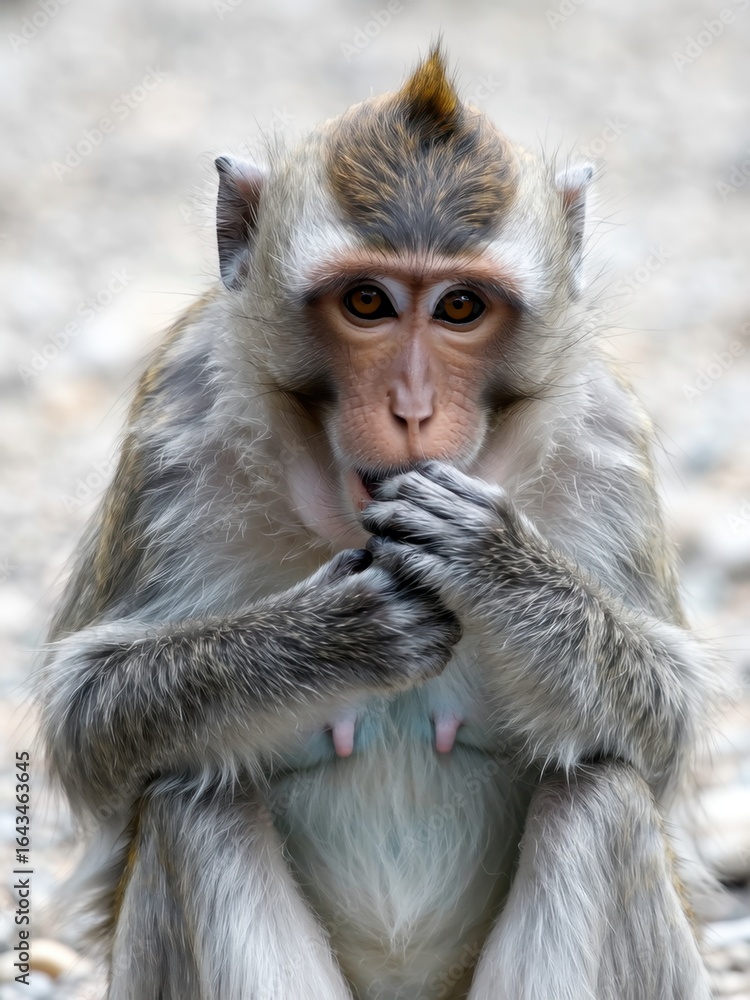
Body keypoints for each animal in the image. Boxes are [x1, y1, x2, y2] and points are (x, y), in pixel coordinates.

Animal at [37, 45, 718, 1000]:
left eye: (461, 307)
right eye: (367, 302)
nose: (411, 407)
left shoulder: (604, 436)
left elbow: (664, 724)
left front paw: (495, 564)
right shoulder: (177, 419)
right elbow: (88, 715)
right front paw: (336, 633)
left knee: (603, 795)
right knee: (192, 806)